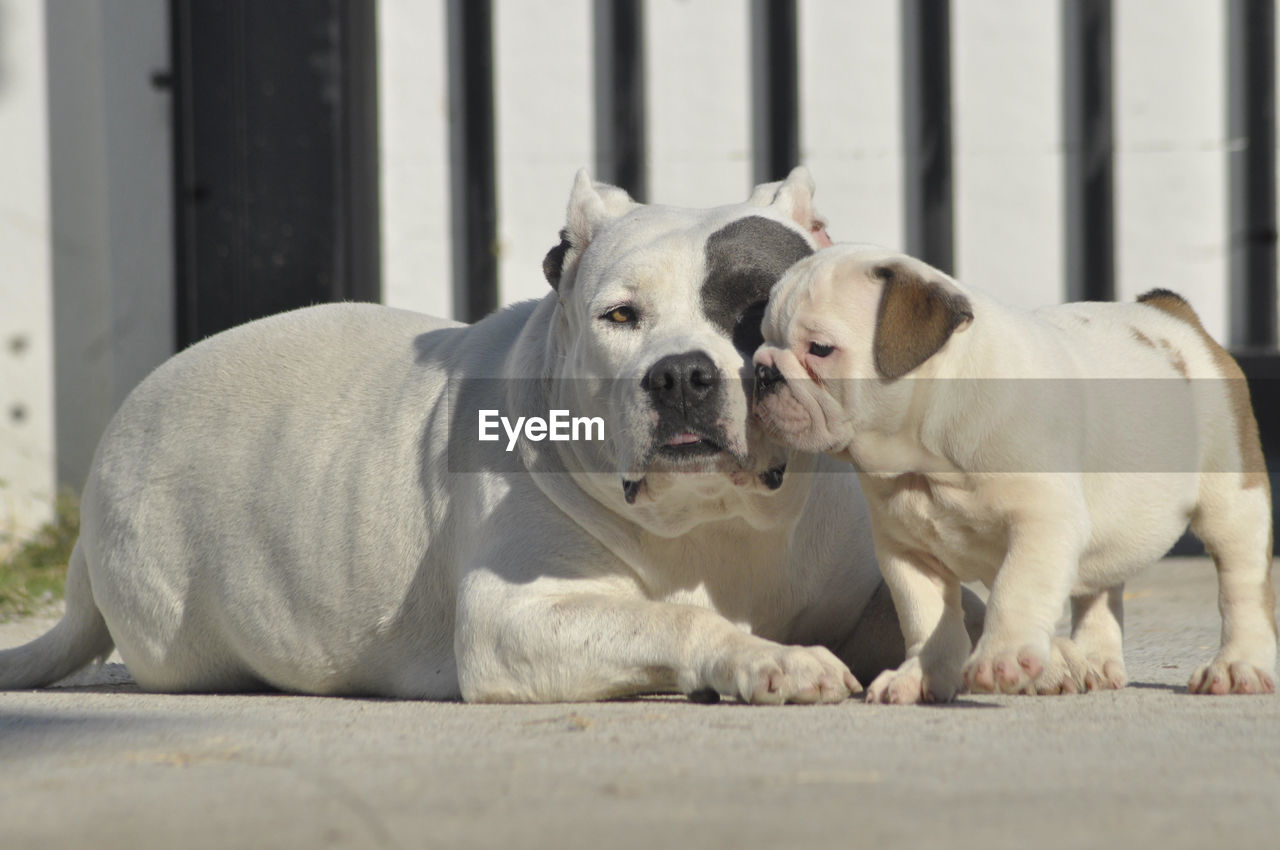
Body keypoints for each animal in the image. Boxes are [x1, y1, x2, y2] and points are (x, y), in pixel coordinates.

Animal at [0, 167, 942, 701]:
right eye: (621, 316)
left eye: (753, 311)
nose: (679, 376)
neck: (723, 525)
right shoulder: (513, 620)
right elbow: (670, 620)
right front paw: (765, 660)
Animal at [752, 241, 1274, 701]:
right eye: (762, 340)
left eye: (820, 349)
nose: (761, 370)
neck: (928, 453)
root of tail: (1173, 314)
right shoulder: (906, 552)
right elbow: (926, 619)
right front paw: (919, 677)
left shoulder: (1041, 522)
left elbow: (1015, 591)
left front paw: (1002, 660)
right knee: (1100, 589)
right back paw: (1095, 661)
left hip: (1234, 500)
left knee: (1242, 587)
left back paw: (1238, 666)